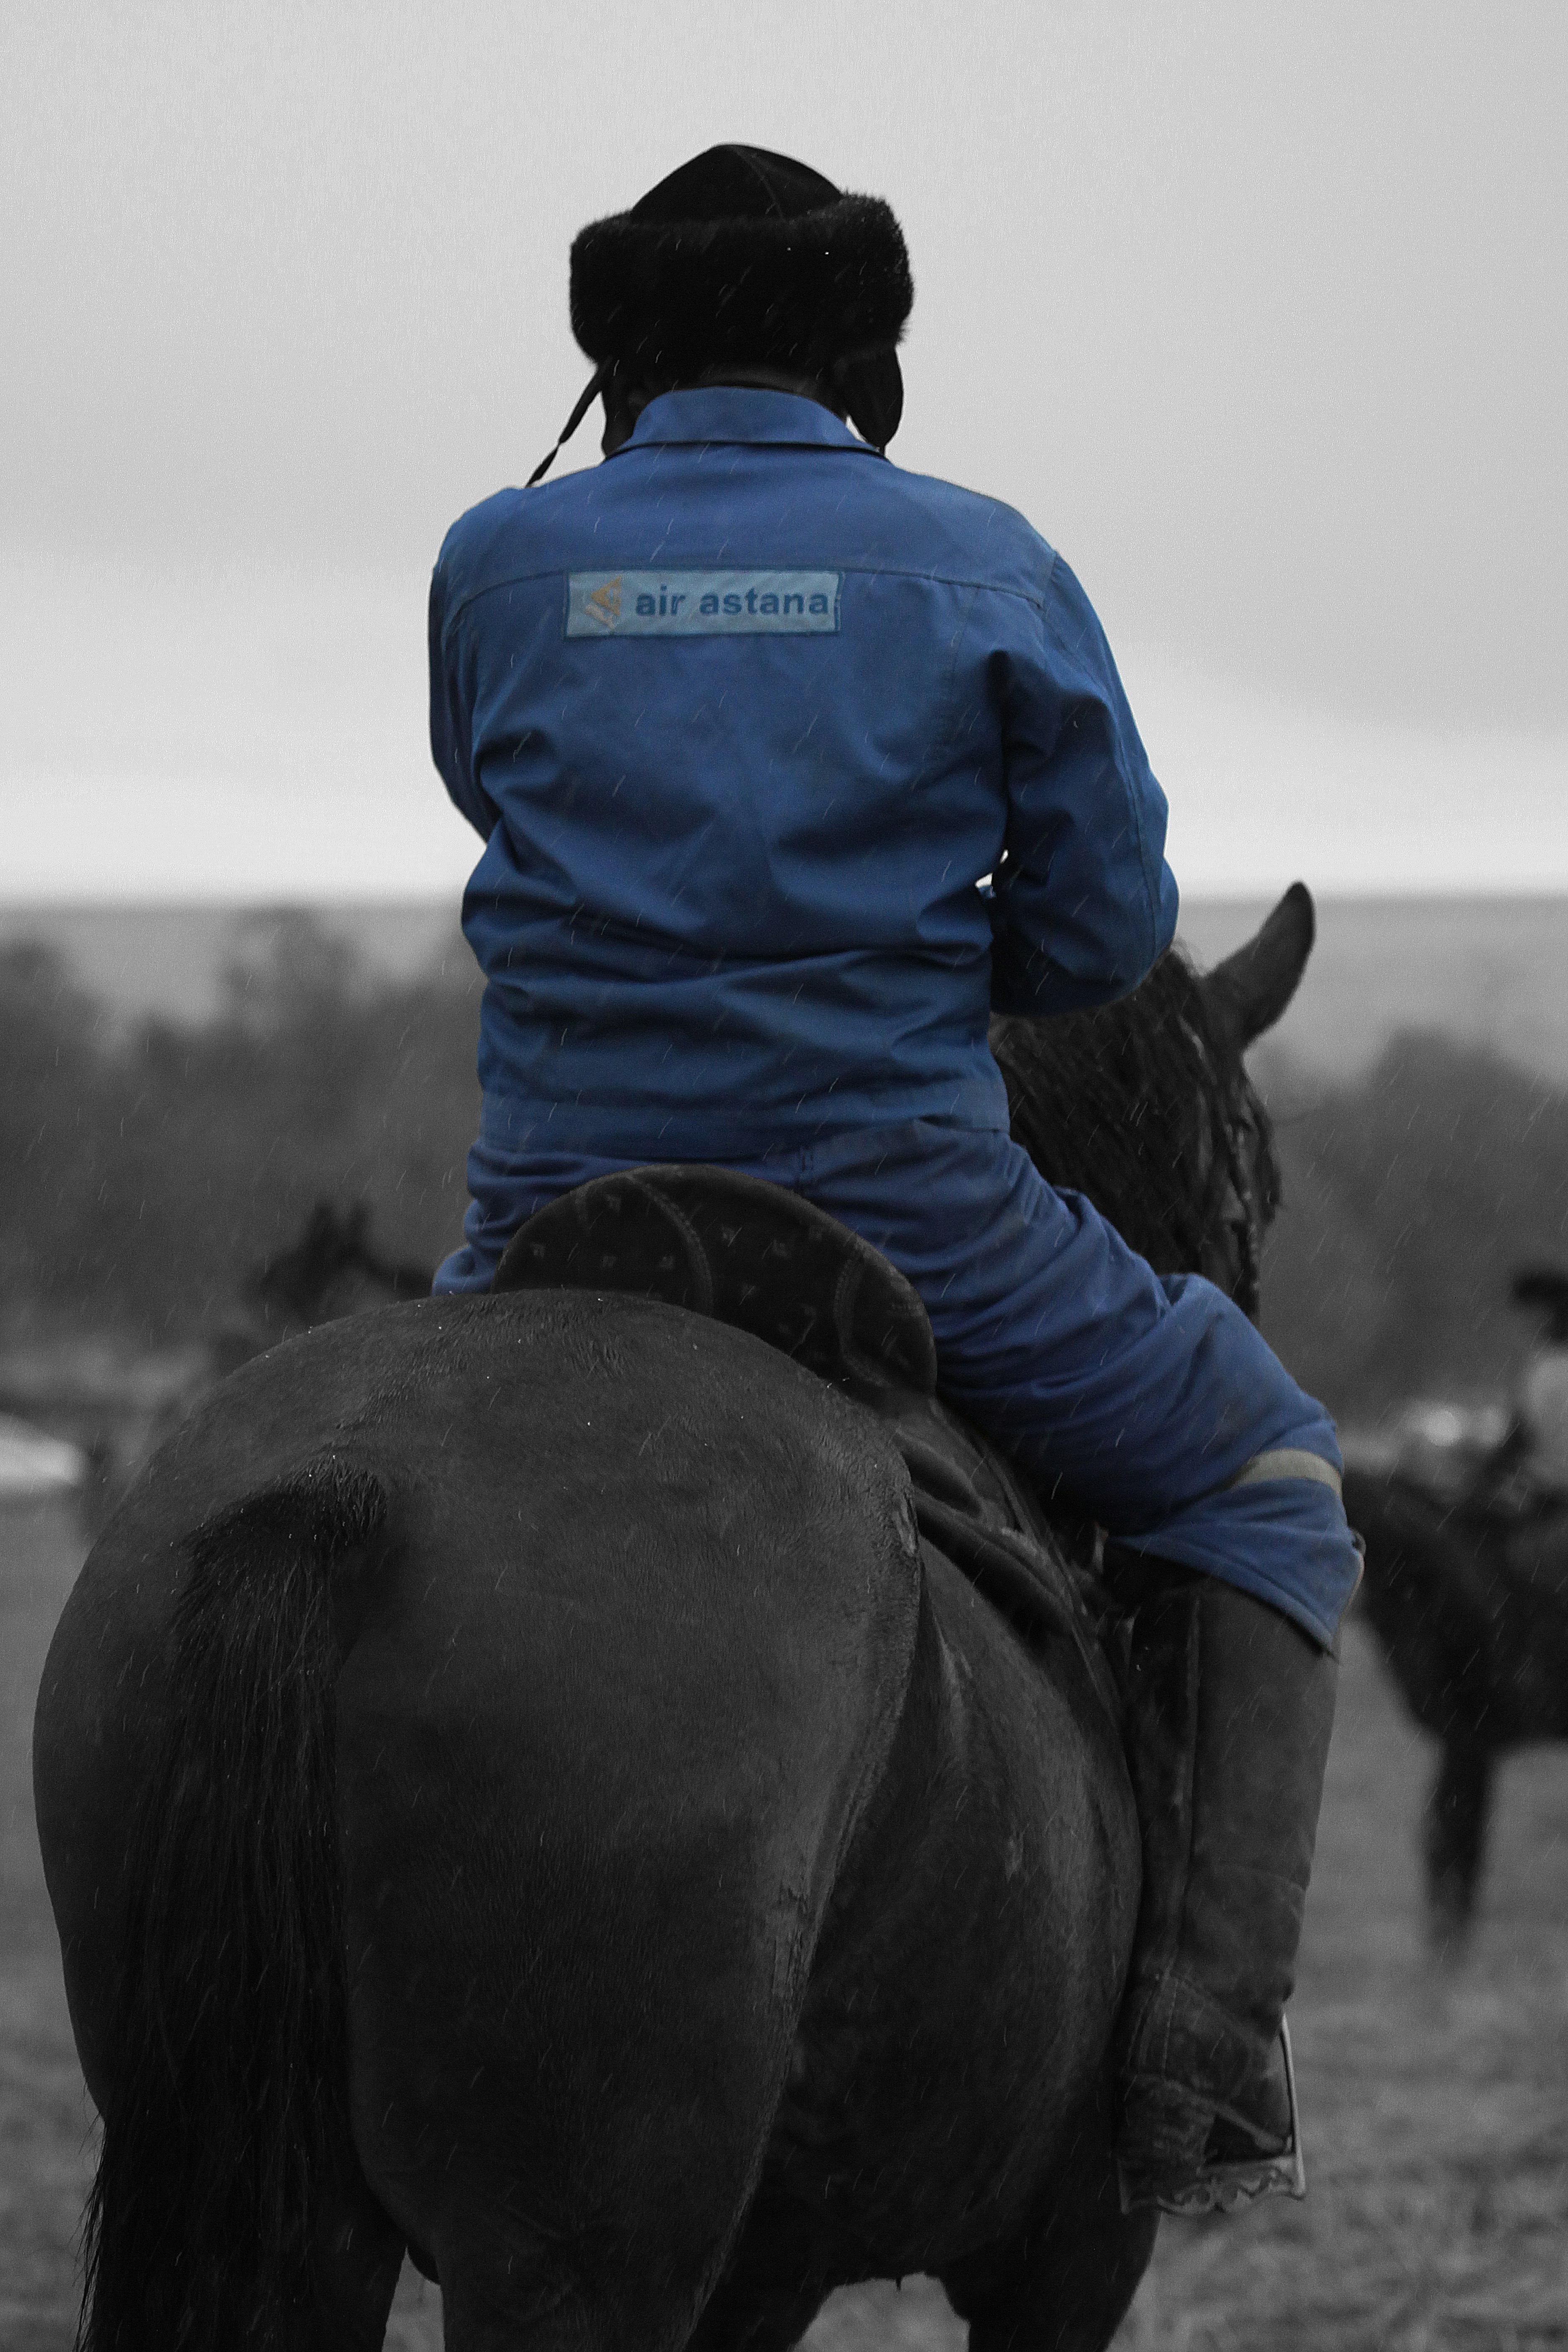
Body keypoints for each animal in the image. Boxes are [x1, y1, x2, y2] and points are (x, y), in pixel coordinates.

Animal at [34, 884, 1316, 2352]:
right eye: (1257, 1178)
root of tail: (349, 1496)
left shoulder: (770, 2270)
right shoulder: (1072, 2252)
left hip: (297, 2212)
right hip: (572, 2261)